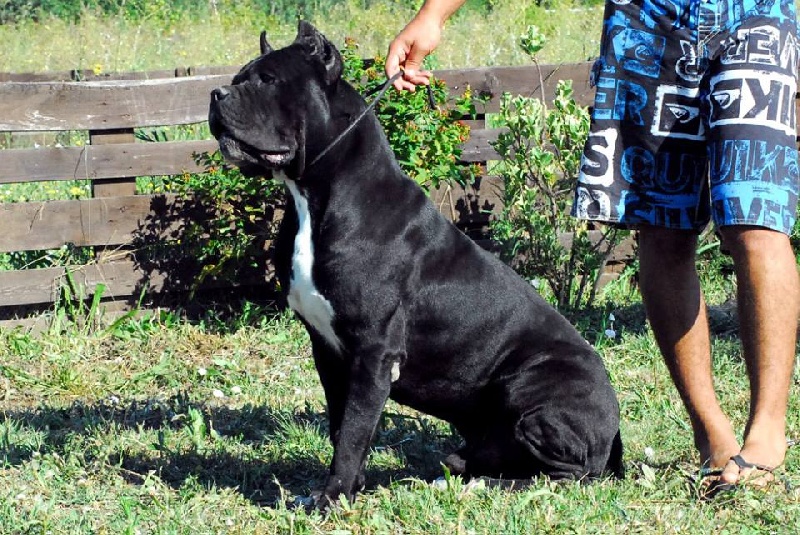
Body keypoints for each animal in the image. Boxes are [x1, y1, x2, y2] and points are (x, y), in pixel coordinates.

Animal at [209, 21, 623, 508]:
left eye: (268, 80)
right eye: (239, 78)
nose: (217, 93)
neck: (315, 196)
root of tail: (614, 429)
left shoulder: (373, 352)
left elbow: (354, 431)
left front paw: (333, 497)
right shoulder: (327, 348)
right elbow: (342, 426)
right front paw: (345, 489)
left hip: (534, 390)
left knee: (568, 473)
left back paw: (488, 483)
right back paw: (460, 469)